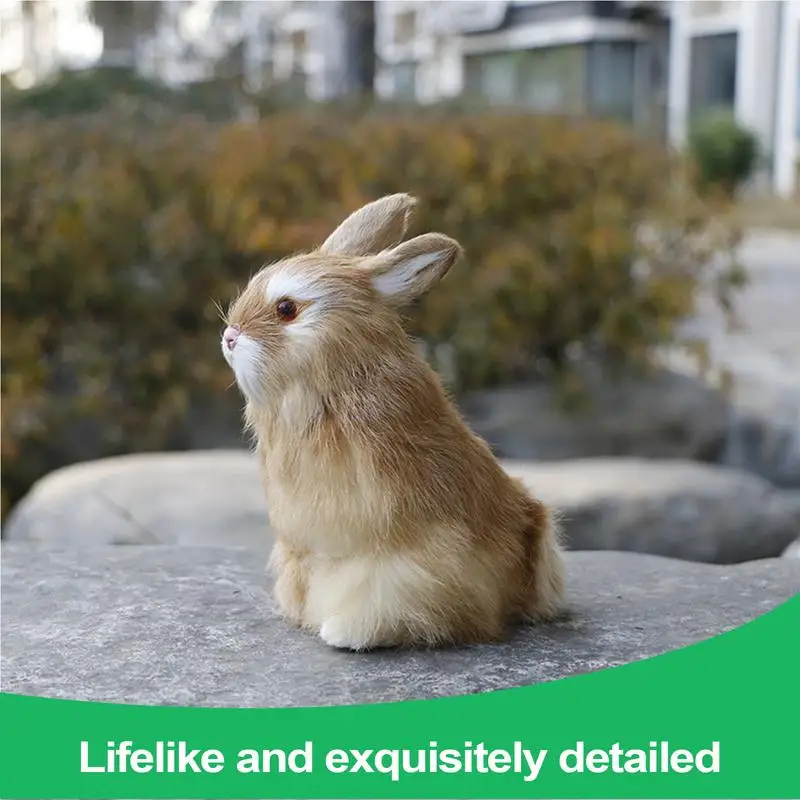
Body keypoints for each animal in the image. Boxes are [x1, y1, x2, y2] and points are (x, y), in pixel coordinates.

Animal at [221, 193, 565, 650]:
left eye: (286, 309)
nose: (229, 337)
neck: (328, 395)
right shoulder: (301, 552)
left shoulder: (403, 561)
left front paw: (341, 633)